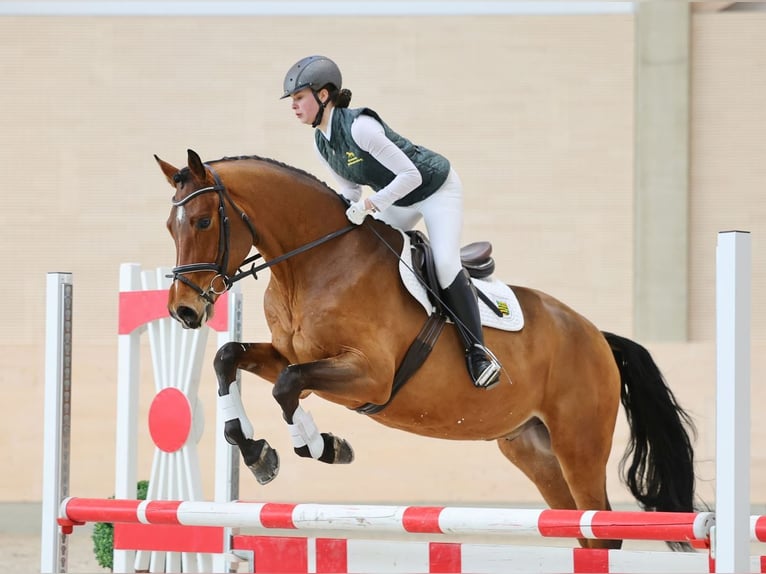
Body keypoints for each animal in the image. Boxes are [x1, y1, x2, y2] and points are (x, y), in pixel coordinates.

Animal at [155, 149, 698, 550]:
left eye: (202, 222)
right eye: (169, 226)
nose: (184, 311)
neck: (311, 263)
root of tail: (597, 335)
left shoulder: (369, 375)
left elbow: (287, 388)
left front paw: (320, 446)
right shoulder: (297, 358)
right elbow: (230, 359)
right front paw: (255, 449)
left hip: (578, 445)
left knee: (601, 526)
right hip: (534, 449)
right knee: (580, 528)